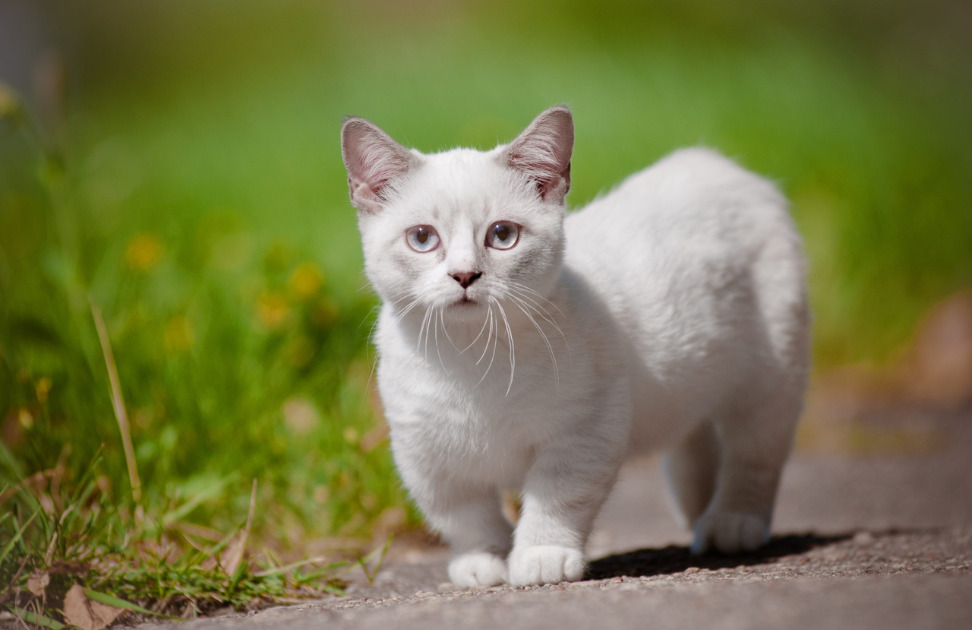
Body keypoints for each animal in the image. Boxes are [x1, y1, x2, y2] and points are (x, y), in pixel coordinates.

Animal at [338, 107, 808, 588]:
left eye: (502, 235)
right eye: (422, 238)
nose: (465, 275)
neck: (471, 359)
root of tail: (716, 163)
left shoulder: (584, 431)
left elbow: (556, 499)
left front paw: (541, 556)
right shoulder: (425, 454)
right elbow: (464, 515)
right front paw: (483, 561)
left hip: (770, 377)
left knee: (754, 456)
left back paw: (731, 523)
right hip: (692, 387)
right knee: (694, 442)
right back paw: (698, 517)